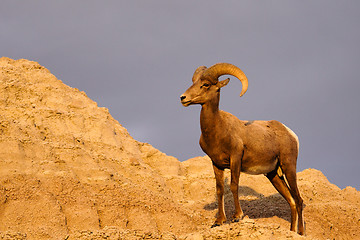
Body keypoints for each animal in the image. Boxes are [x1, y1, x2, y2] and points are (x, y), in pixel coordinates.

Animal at [180, 63, 304, 234]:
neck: (218, 131)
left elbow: (233, 185)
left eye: (205, 85)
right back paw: (292, 232)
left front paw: (237, 216)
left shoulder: (235, 158)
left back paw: (301, 233)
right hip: (273, 175)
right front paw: (219, 221)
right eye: (194, 82)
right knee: (291, 201)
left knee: (299, 200)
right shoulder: (216, 164)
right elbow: (220, 190)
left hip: (289, 167)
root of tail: (291, 133)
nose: (183, 98)